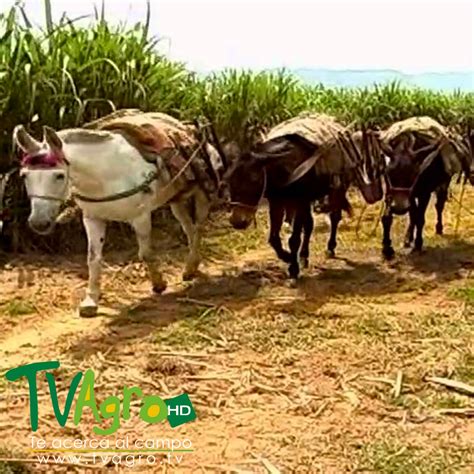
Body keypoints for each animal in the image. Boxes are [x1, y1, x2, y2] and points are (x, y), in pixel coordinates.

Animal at [12, 113, 225, 316]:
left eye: (59, 175)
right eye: (24, 175)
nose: (39, 223)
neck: (104, 174)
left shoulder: (140, 217)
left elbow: (145, 253)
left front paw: (159, 284)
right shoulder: (92, 218)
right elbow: (93, 258)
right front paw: (91, 300)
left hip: (202, 194)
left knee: (198, 228)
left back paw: (191, 267)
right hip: (176, 200)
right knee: (189, 228)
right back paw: (190, 268)